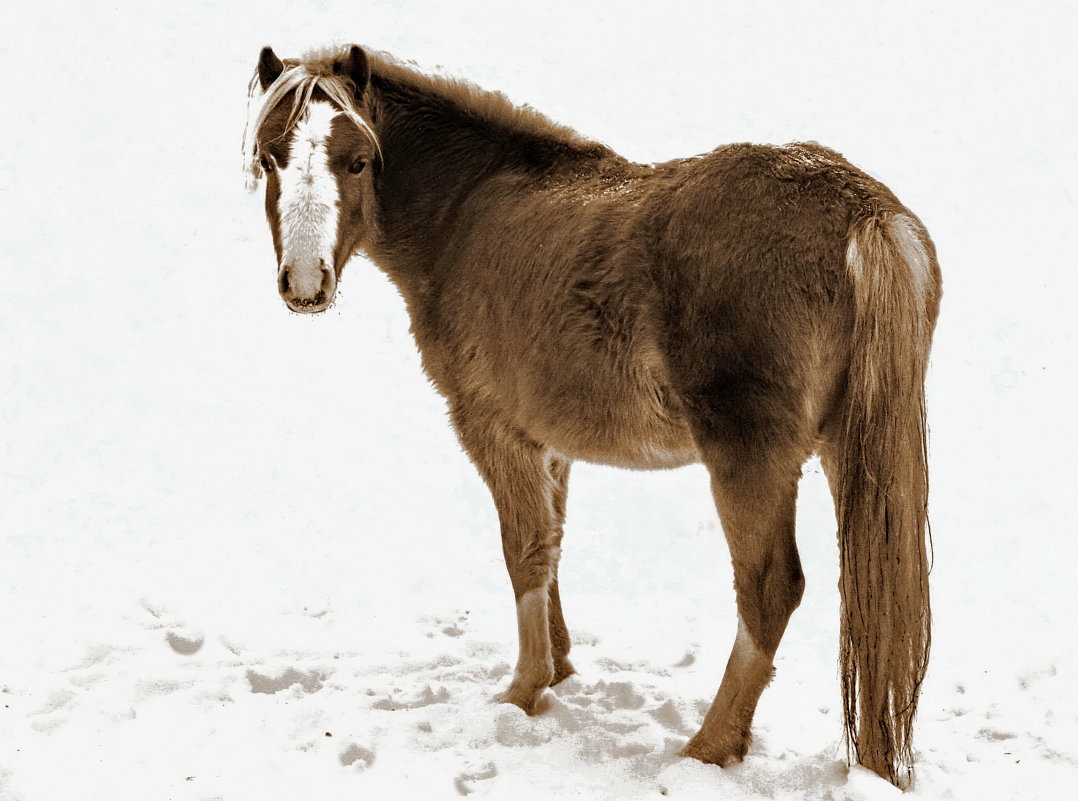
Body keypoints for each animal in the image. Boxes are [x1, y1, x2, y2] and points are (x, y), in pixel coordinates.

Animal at [244, 45, 944, 789]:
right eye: (269, 158)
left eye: (357, 161)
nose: (305, 282)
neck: (468, 210)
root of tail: (863, 212)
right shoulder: (550, 444)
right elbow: (552, 545)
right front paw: (560, 665)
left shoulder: (494, 430)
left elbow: (524, 550)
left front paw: (523, 689)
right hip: (851, 449)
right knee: (874, 595)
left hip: (749, 459)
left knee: (769, 589)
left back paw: (711, 744)